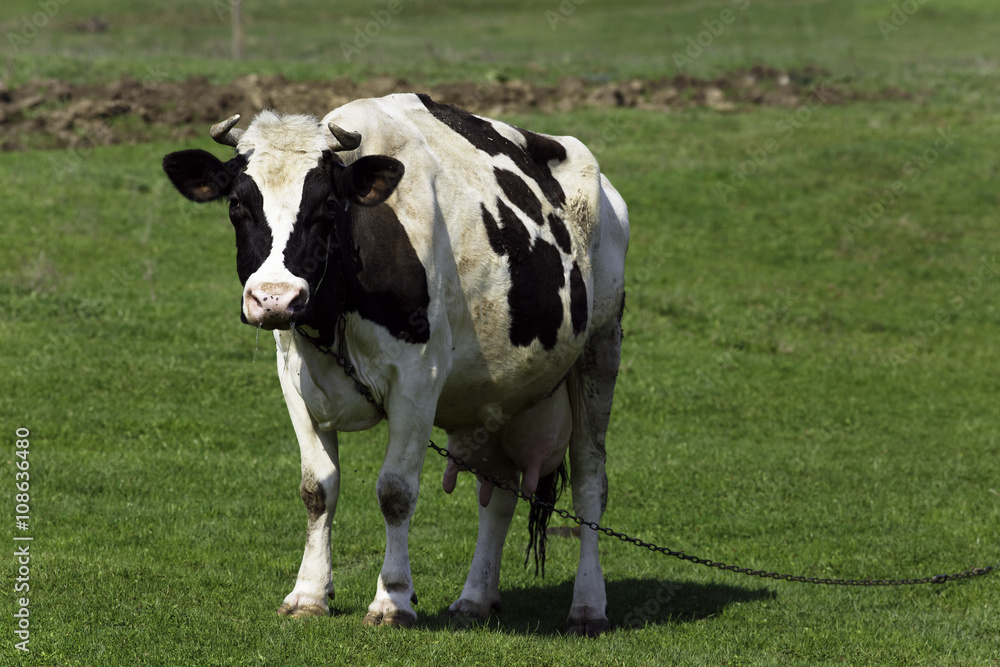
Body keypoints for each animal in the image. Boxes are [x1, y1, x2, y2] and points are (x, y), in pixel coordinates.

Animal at [162, 95, 632, 636]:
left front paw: (392, 600)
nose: (275, 298)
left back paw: (588, 605)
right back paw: (475, 598)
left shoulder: (417, 382)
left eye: (328, 205)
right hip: (494, 395)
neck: (337, 308)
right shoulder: (294, 380)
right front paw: (308, 594)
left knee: (590, 482)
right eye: (237, 205)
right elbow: (316, 489)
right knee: (498, 493)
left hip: (601, 348)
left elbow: (395, 491)